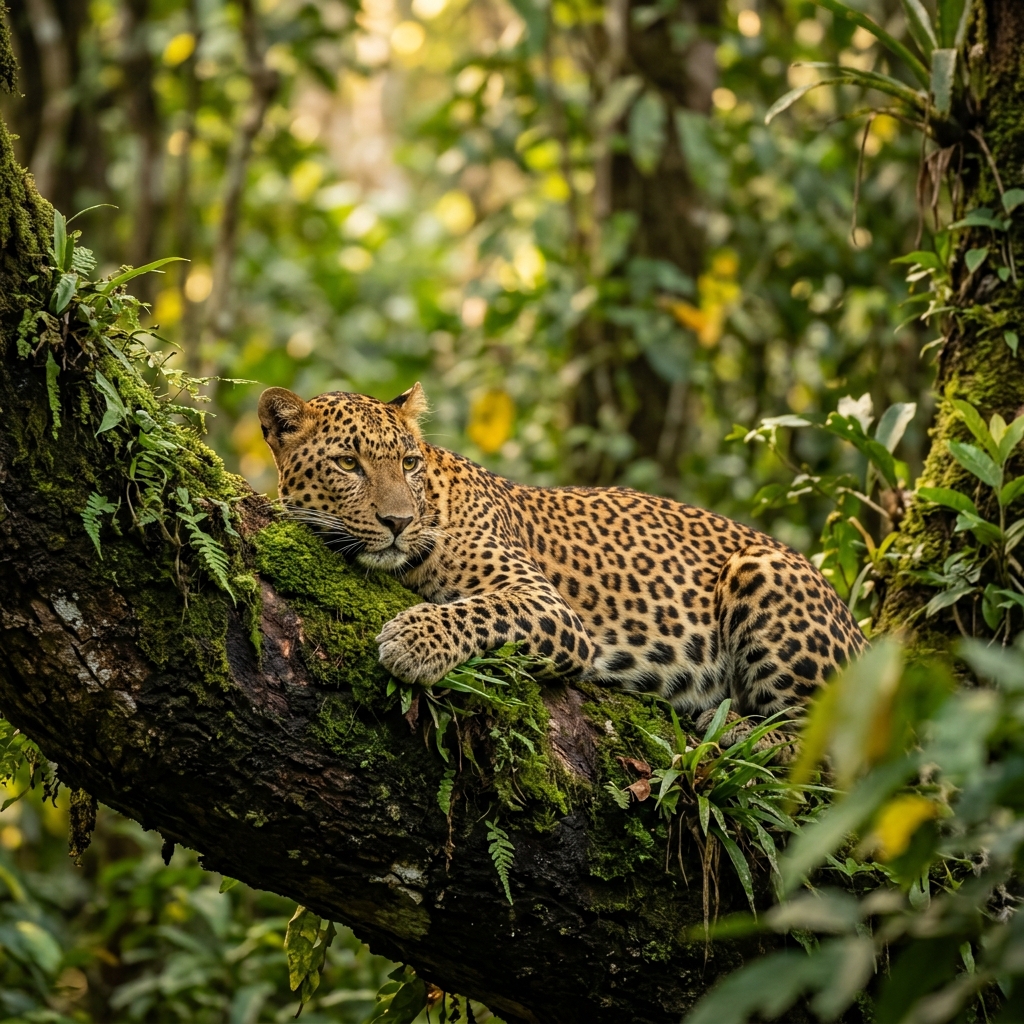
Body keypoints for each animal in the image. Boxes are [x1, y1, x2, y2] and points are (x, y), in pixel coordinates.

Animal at [258, 383, 866, 728]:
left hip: (759, 568)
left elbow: (480, 609)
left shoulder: (550, 608)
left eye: (408, 463)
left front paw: (413, 641)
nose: (398, 522)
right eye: (348, 464)